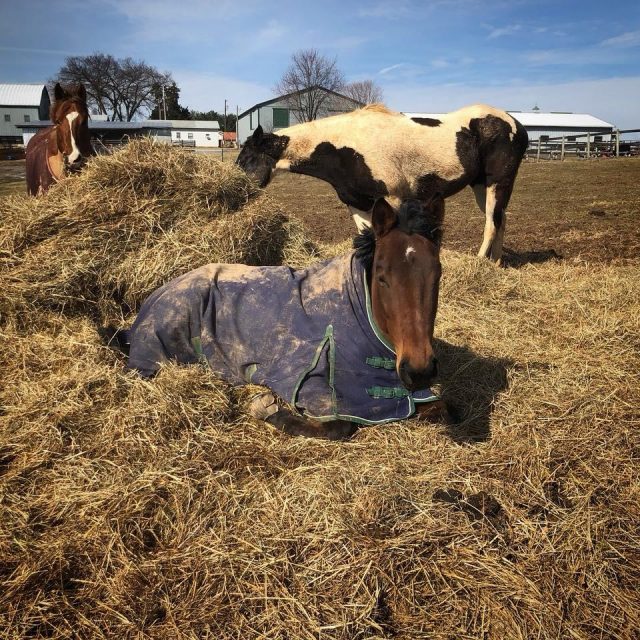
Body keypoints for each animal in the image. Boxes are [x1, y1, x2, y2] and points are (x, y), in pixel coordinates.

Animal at [103, 196, 448, 440]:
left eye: (437, 273)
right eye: (382, 277)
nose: (419, 371)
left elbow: (441, 407)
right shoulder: (311, 385)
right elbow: (338, 427)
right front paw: (264, 408)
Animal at [236, 103, 529, 262]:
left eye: (247, 158)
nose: (240, 191)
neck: (345, 148)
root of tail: (515, 123)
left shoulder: (395, 198)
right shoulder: (357, 204)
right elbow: (366, 236)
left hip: (497, 183)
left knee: (491, 224)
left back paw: (480, 263)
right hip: (481, 187)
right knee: (499, 219)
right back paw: (495, 264)